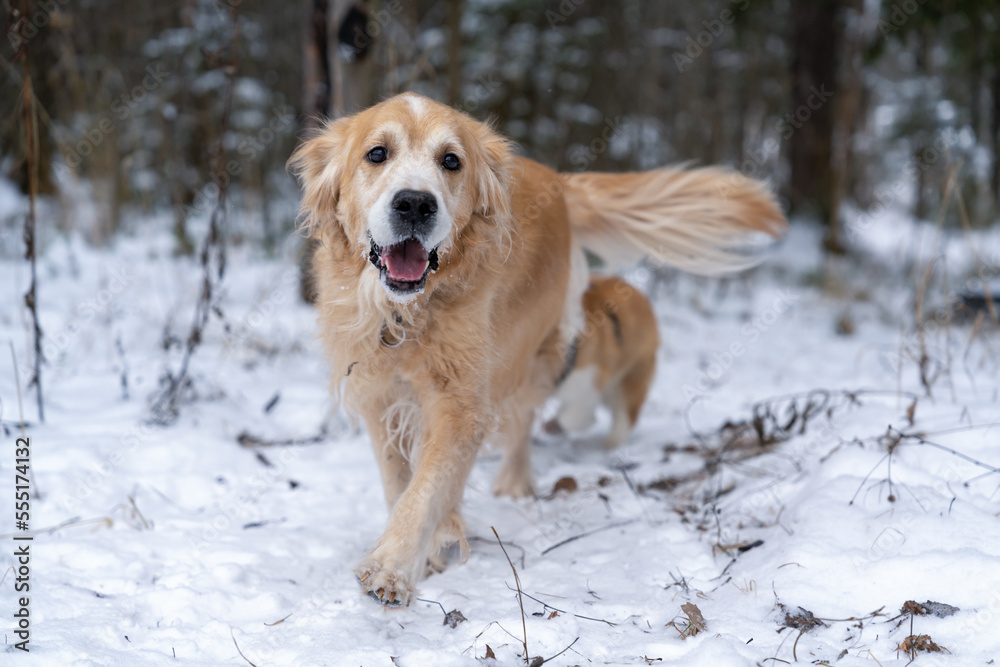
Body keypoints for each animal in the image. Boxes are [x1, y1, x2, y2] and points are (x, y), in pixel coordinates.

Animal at [286, 91, 784, 608]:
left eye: (451, 161)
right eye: (377, 153)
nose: (415, 204)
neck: (407, 314)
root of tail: (559, 182)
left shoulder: (462, 400)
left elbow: (427, 486)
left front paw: (395, 566)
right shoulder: (378, 392)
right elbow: (399, 481)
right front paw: (425, 545)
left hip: (533, 353)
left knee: (526, 417)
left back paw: (514, 481)